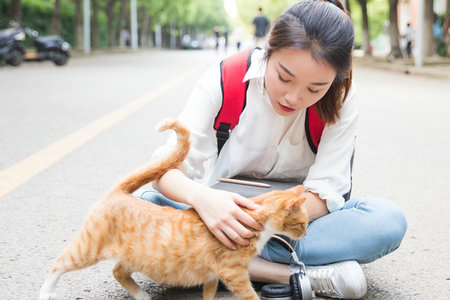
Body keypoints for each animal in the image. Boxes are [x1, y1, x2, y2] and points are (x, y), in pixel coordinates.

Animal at [39, 119, 310, 300]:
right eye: (302, 223)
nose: (305, 234)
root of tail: (120, 192)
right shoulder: (234, 273)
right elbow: (250, 296)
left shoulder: (212, 276)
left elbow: (209, 294)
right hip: (88, 249)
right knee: (59, 264)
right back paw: (46, 291)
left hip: (138, 256)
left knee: (118, 271)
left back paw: (142, 296)